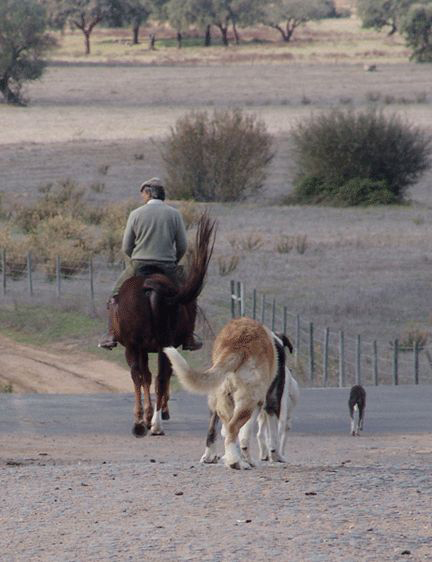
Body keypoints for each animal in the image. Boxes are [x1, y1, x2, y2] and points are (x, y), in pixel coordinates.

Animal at [112, 212, 215, 436]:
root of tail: (152, 286)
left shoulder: (138, 348)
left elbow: (145, 376)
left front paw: (148, 414)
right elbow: (152, 377)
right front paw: (152, 413)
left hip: (139, 346)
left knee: (144, 376)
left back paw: (146, 423)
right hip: (161, 344)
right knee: (158, 377)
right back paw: (152, 423)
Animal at [164, 316, 298, 468]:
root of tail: (237, 344)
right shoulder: (270, 403)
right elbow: (266, 437)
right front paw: (276, 456)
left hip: (221, 399)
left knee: (222, 430)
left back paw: (222, 458)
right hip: (249, 401)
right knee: (234, 429)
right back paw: (236, 462)